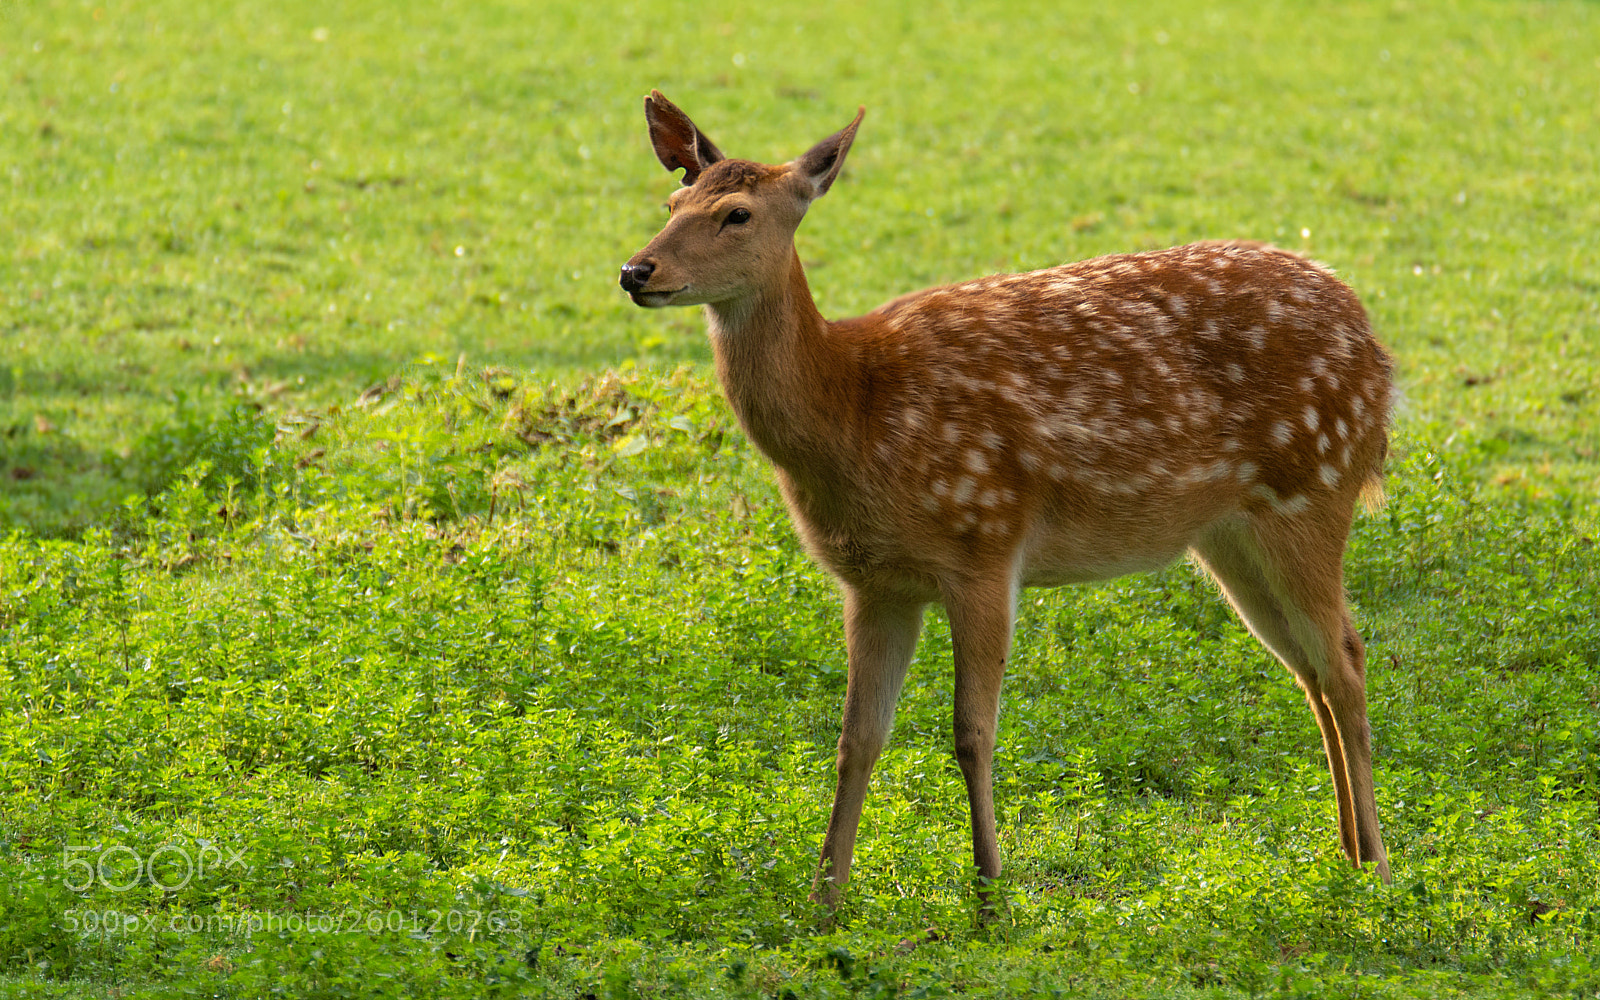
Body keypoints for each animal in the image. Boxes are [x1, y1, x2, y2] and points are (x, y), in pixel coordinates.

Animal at [619, 91, 1394, 912]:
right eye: (671, 204)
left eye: (736, 214)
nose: (637, 269)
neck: (855, 408)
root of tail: (1376, 351)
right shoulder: (874, 583)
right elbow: (857, 738)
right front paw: (825, 899)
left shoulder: (985, 544)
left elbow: (971, 732)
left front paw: (990, 890)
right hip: (1228, 535)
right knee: (1309, 669)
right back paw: (1346, 854)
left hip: (1313, 489)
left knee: (1346, 657)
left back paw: (1377, 867)